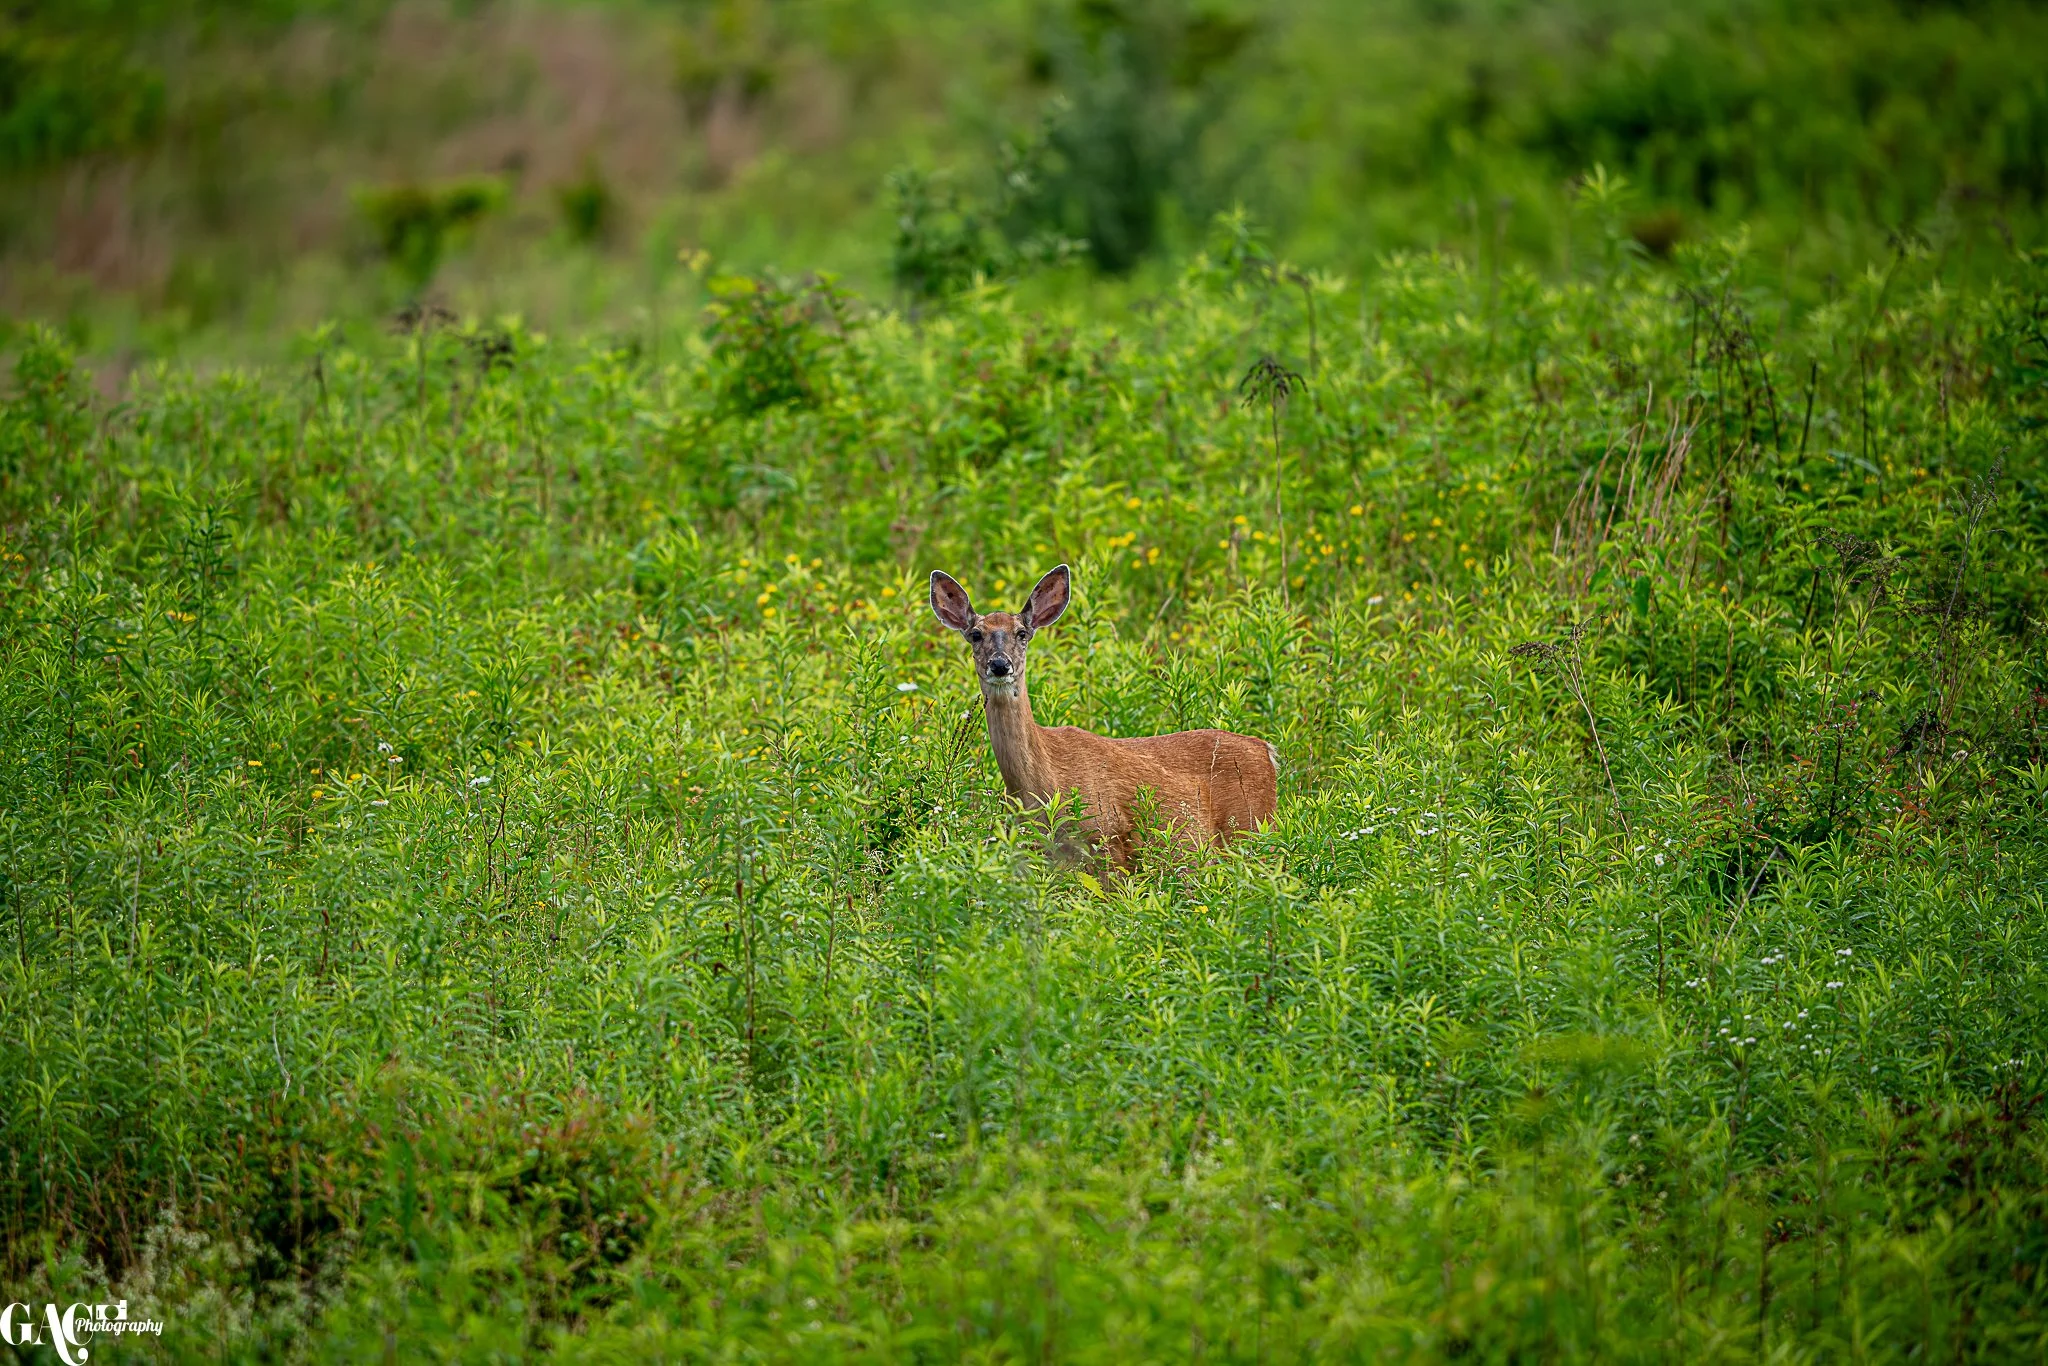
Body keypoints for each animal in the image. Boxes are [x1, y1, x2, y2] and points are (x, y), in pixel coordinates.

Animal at [929, 564, 1279, 868]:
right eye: (976, 634)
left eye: (1021, 633)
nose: (1001, 664)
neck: (1043, 786)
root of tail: (1267, 750)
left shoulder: (1108, 834)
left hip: (1251, 827)